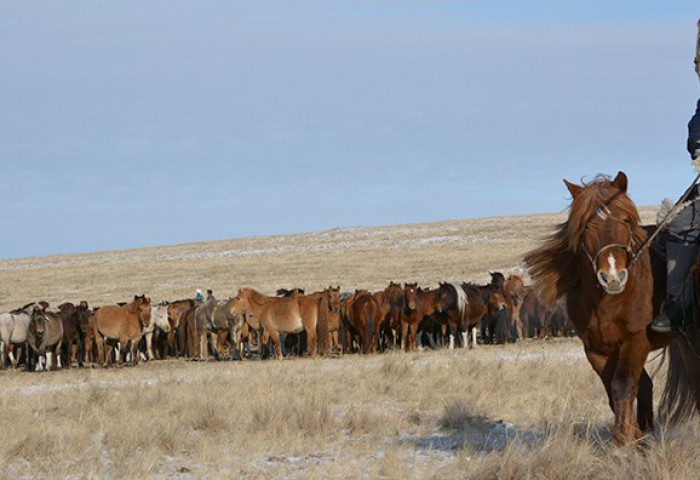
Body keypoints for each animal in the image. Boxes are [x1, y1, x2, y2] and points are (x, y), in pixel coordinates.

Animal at [524, 172, 700, 446]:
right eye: (585, 226)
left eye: (626, 220)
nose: (613, 276)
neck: (607, 301)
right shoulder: (595, 348)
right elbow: (613, 390)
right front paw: (634, 439)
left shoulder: (636, 341)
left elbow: (623, 386)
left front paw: (623, 441)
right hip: (685, 340)